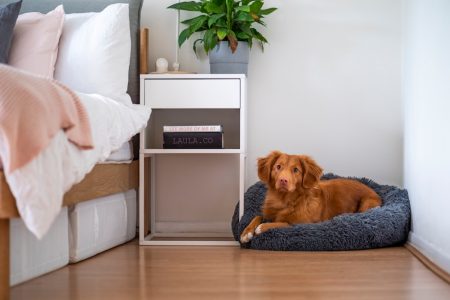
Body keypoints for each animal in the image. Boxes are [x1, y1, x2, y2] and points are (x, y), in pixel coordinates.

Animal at [241, 151, 382, 245]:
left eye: (295, 170)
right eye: (278, 167)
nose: (283, 180)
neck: (284, 200)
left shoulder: (302, 223)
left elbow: (283, 223)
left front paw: (262, 227)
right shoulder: (267, 213)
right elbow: (257, 216)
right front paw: (246, 232)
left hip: (366, 203)